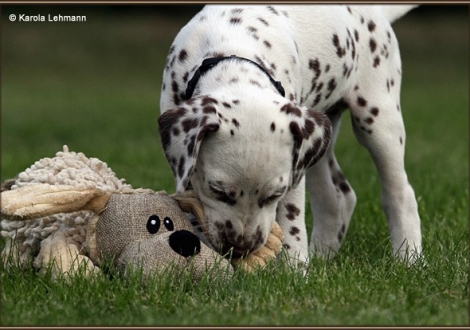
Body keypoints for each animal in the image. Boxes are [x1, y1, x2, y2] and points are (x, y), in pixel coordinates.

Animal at [158, 5, 422, 266]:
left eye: (275, 194)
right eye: (218, 191)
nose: (241, 248)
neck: (232, 48)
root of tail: (377, 11)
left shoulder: (294, 171)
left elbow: (291, 217)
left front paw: (295, 268)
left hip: (378, 119)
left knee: (400, 192)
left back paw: (409, 257)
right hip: (321, 137)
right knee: (336, 196)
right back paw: (322, 255)